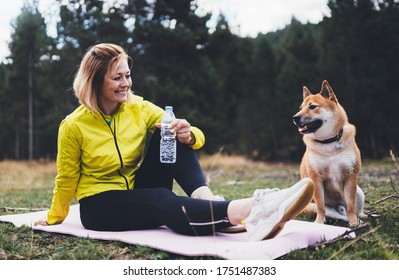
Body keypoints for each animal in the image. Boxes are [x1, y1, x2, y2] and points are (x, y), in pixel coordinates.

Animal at [292, 80, 368, 226]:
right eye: (300, 107)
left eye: (312, 106)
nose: (295, 118)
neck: (328, 142)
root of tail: (339, 206)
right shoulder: (316, 179)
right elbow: (321, 206)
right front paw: (319, 222)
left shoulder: (350, 176)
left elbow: (351, 205)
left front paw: (353, 223)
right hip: (311, 206)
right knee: (336, 213)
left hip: (359, 192)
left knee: (356, 210)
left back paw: (362, 218)